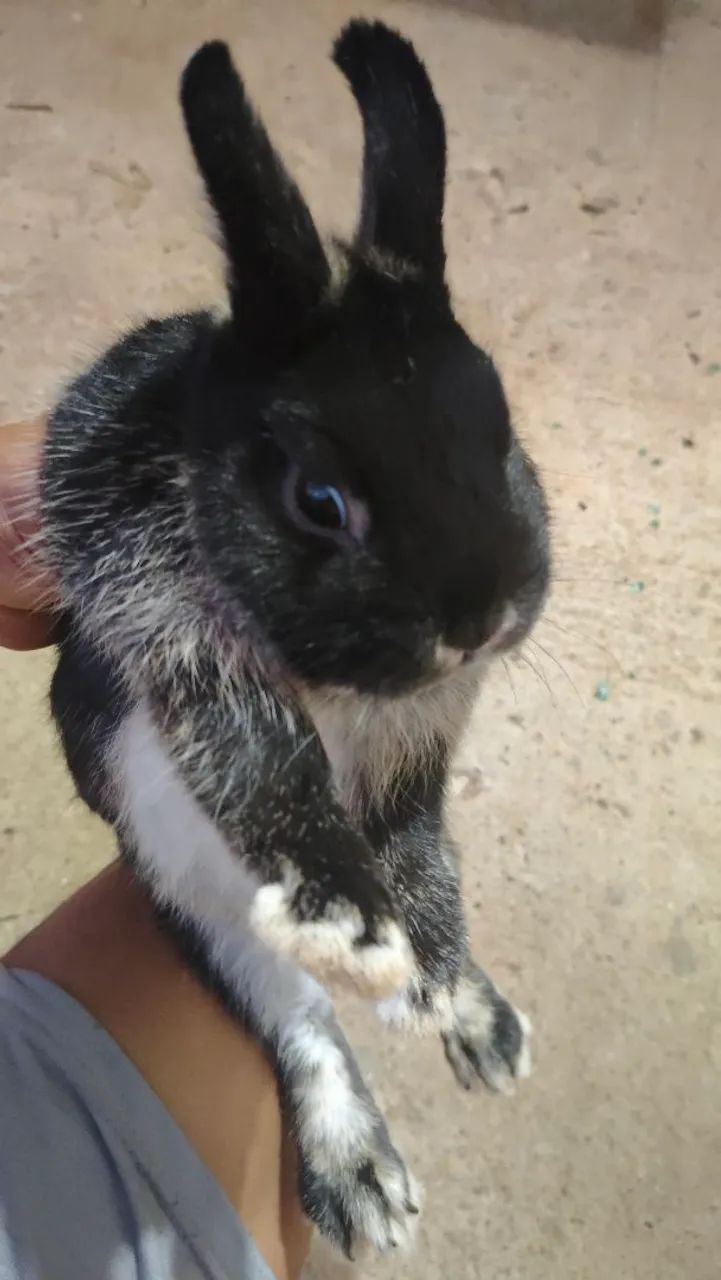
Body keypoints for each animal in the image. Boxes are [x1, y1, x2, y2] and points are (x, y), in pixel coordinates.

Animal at [40, 19, 550, 1258]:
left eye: (503, 437)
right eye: (319, 500)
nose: (475, 620)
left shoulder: (420, 740)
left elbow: (420, 838)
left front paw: (434, 969)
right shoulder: (181, 659)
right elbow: (268, 774)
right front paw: (351, 923)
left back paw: (475, 1017)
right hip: (169, 852)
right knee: (271, 990)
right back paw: (359, 1174)